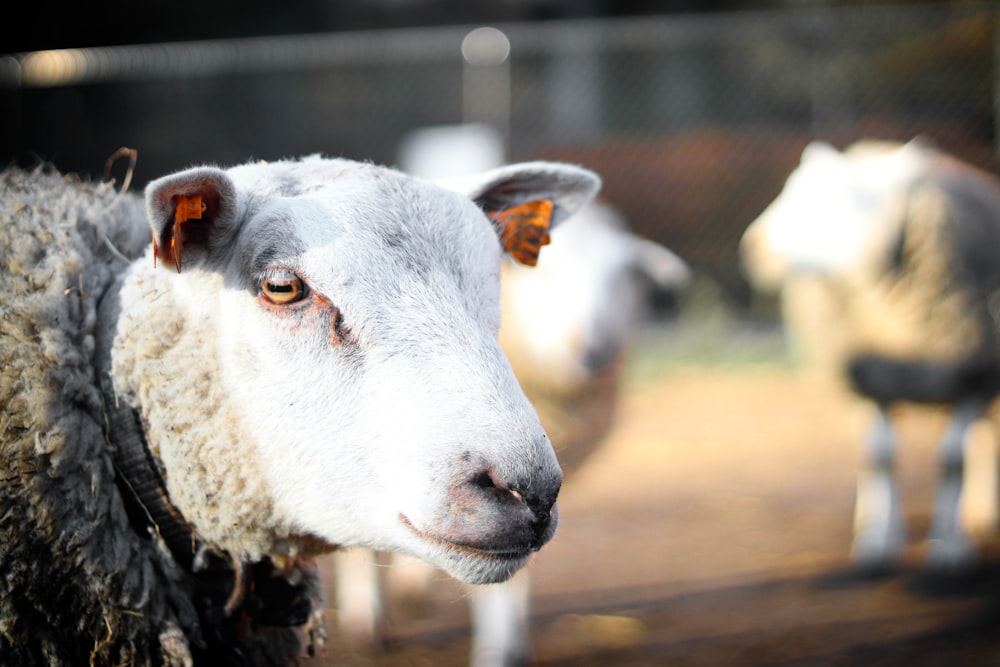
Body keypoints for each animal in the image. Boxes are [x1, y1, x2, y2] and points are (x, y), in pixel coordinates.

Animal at [740, 138, 1000, 576]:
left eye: (843, 197)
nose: (753, 247)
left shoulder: (974, 378)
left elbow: (952, 461)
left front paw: (948, 547)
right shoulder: (870, 380)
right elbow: (880, 457)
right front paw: (878, 544)